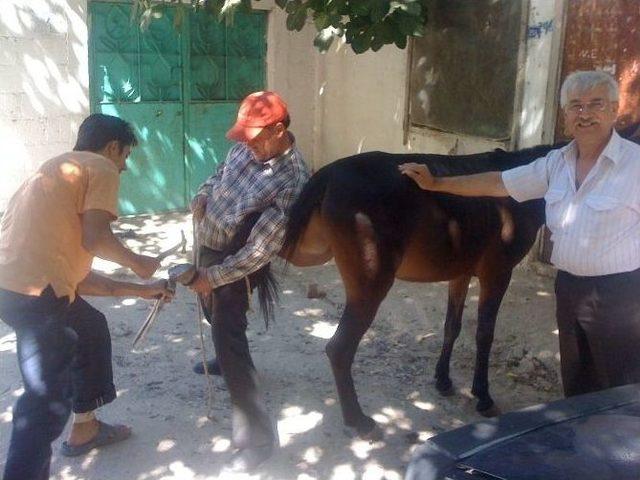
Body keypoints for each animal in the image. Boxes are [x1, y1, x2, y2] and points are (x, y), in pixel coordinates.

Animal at [280, 142, 560, 438]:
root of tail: (330, 173)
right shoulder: (497, 273)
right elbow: (484, 334)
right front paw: (483, 396)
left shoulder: (460, 274)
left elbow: (452, 326)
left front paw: (443, 380)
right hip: (370, 286)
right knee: (339, 349)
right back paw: (358, 419)